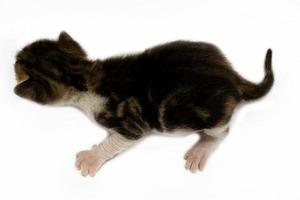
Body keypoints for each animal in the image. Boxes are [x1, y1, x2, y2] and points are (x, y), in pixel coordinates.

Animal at [14, 31, 274, 177]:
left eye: (18, 62)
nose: (14, 57)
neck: (81, 74)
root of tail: (233, 76)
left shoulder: (131, 123)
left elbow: (116, 140)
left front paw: (91, 158)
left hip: (198, 115)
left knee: (221, 131)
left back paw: (201, 148)